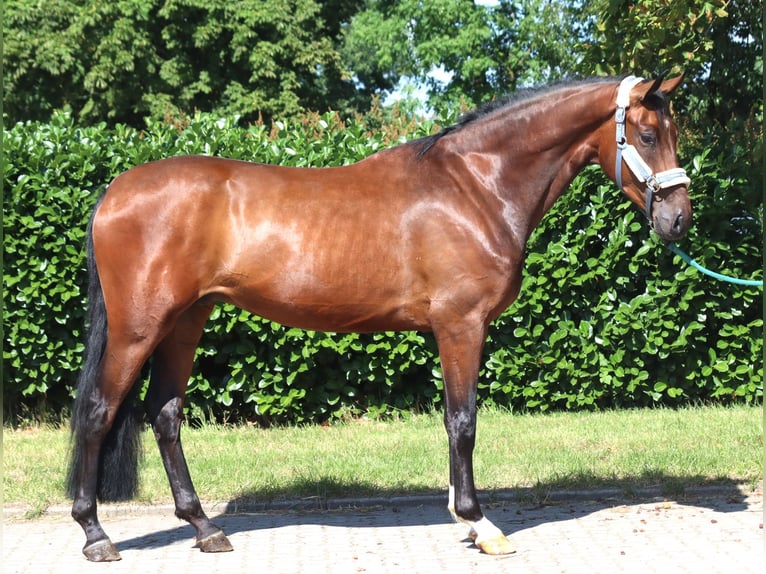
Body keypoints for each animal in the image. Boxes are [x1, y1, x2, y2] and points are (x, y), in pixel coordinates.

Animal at [67, 75, 691, 561]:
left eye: (672, 133)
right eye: (647, 134)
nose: (679, 220)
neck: (475, 186)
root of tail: (115, 191)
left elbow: (454, 421)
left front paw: (462, 517)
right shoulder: (461, 325)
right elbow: (463, 422)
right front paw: (480, 524)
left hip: (185, 321)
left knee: (165, 415)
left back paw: (205, 529)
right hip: (139, 327)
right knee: (98, 411)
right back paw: (96, 534)